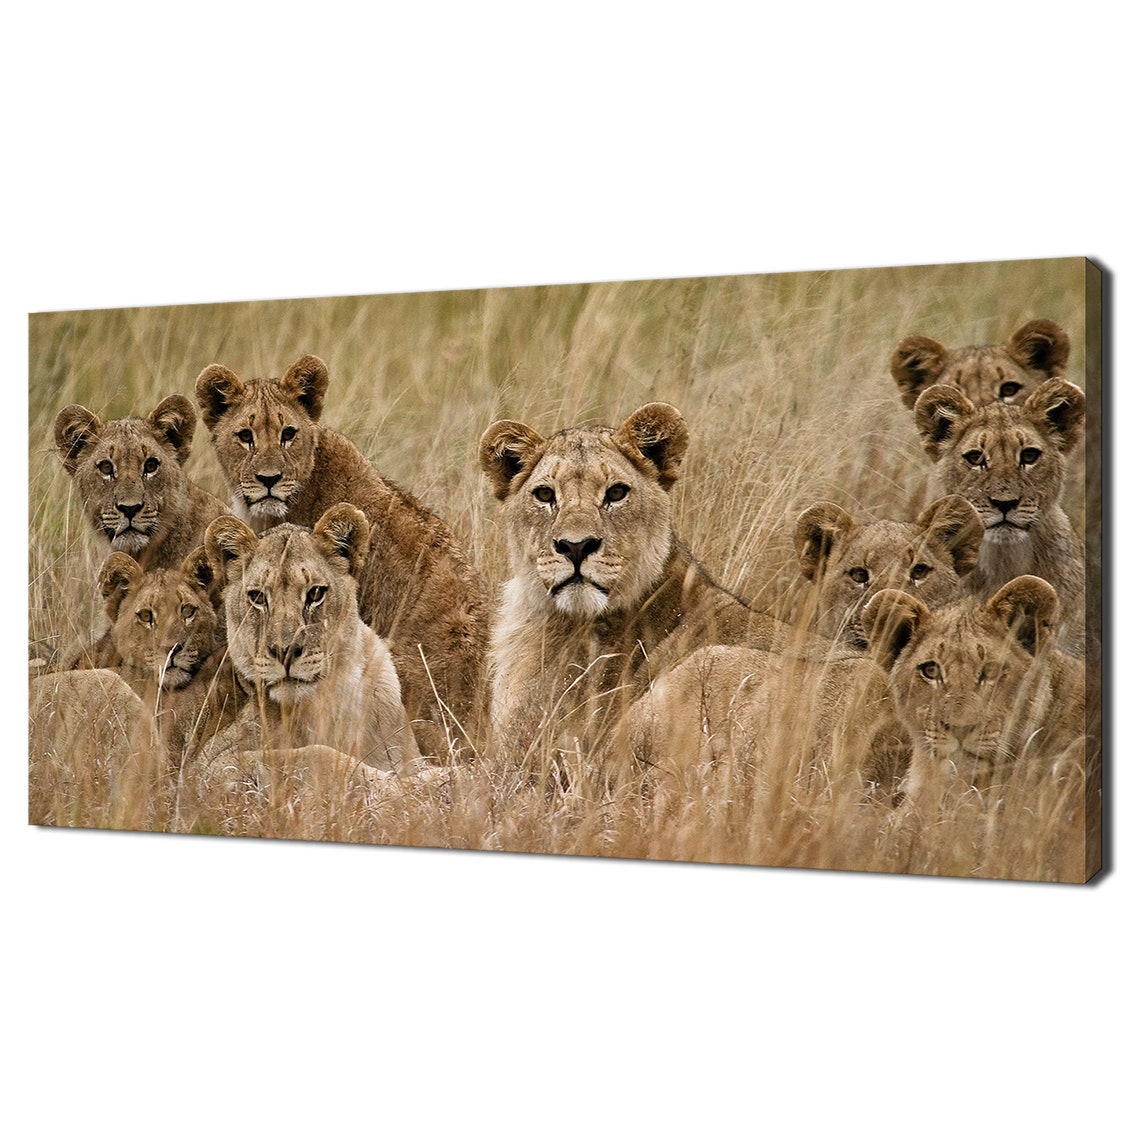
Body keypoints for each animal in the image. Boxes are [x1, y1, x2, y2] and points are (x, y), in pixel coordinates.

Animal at [199, 504, 421, 782]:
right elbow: (317, 754)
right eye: (257, 597)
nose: (284, 651)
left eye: (315, 593)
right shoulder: (207, 766)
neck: (325, 702)